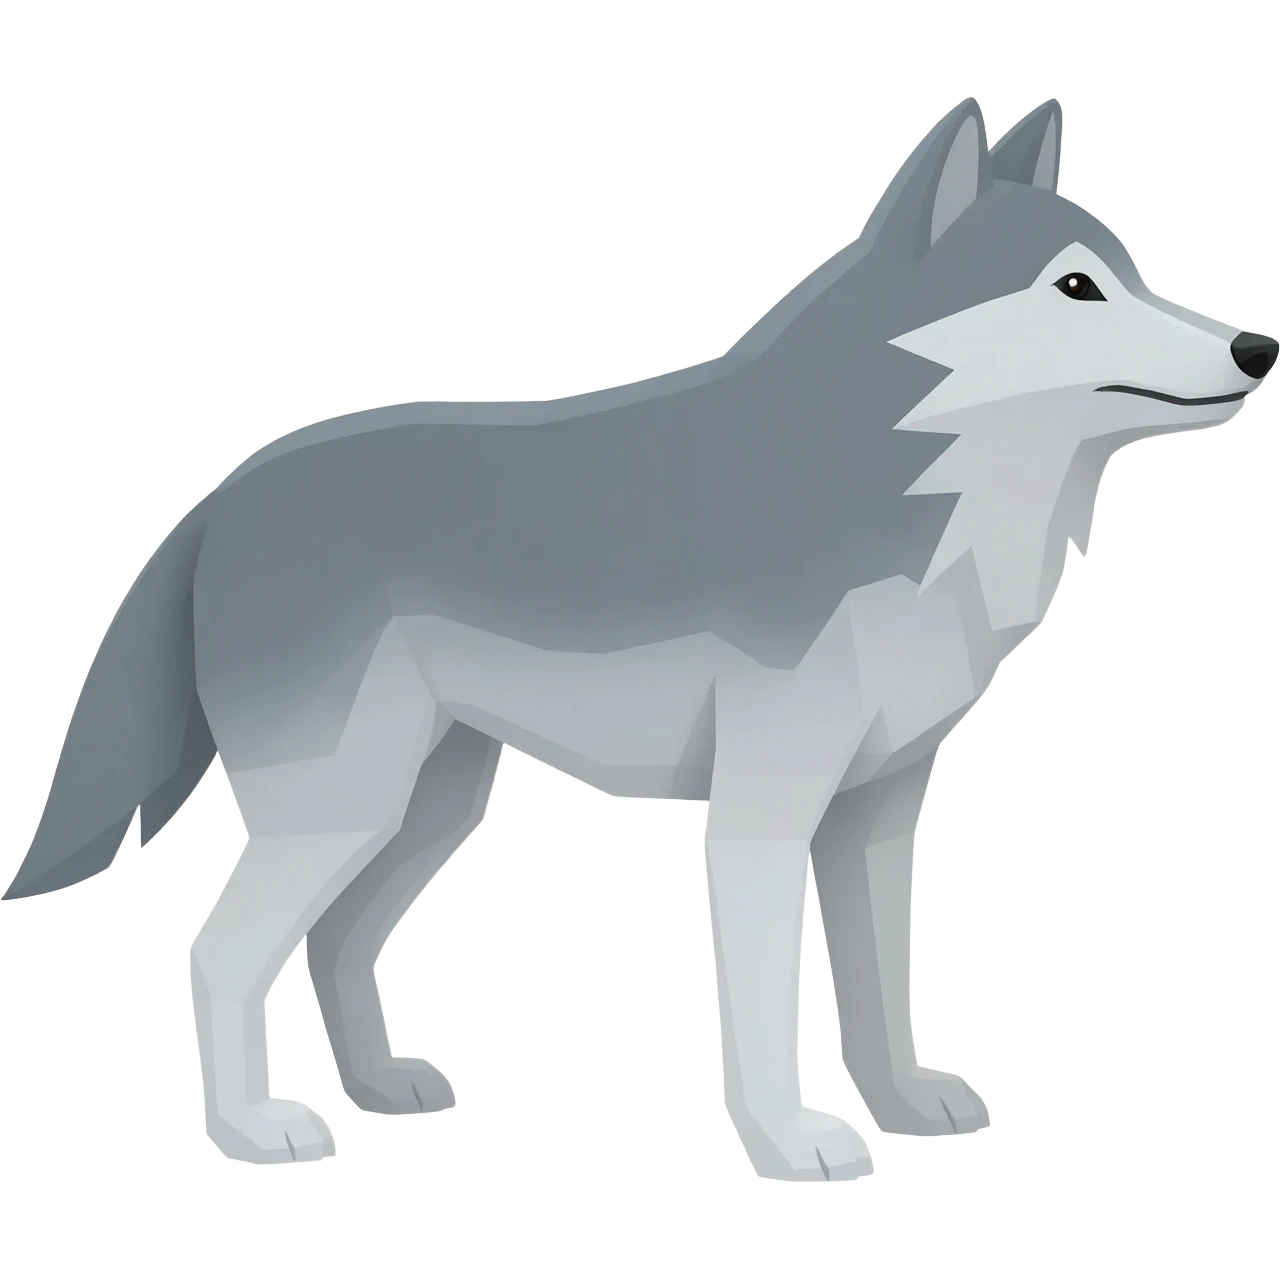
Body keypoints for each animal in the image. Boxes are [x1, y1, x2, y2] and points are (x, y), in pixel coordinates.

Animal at [7, 97, 1275, 1179]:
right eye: (1075, 288)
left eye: (1136, 274)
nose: (1254, 347)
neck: (905, 482)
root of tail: (221, 499)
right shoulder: (758, 817)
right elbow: (765, 1003)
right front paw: (791, 1144)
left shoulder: (874, 818)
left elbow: (877, 986)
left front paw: (905, 1105)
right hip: (345, 806)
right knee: (218, 950)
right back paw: (254, 1133)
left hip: (427, 808)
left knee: (335, 943)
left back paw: (380, 1089)